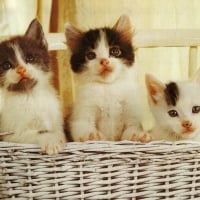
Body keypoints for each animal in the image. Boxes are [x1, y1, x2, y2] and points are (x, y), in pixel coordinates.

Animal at [0, 19, 67, 155]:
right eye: (6, 65)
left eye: (30, 58)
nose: (21, 69)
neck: (30, 96)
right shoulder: (9, 135)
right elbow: (35, 132)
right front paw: (51, 140)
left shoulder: (56, 119)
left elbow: (59, 131)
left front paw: (58, 138)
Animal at [64, 14, 150, 142]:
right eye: (90, 55)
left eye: (114, 51)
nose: (104, 61)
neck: (108, 87)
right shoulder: (81, 112)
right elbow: (82, 127)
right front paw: (91, 135)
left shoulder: (130, 110)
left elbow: (131, 129)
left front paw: (137, 135)